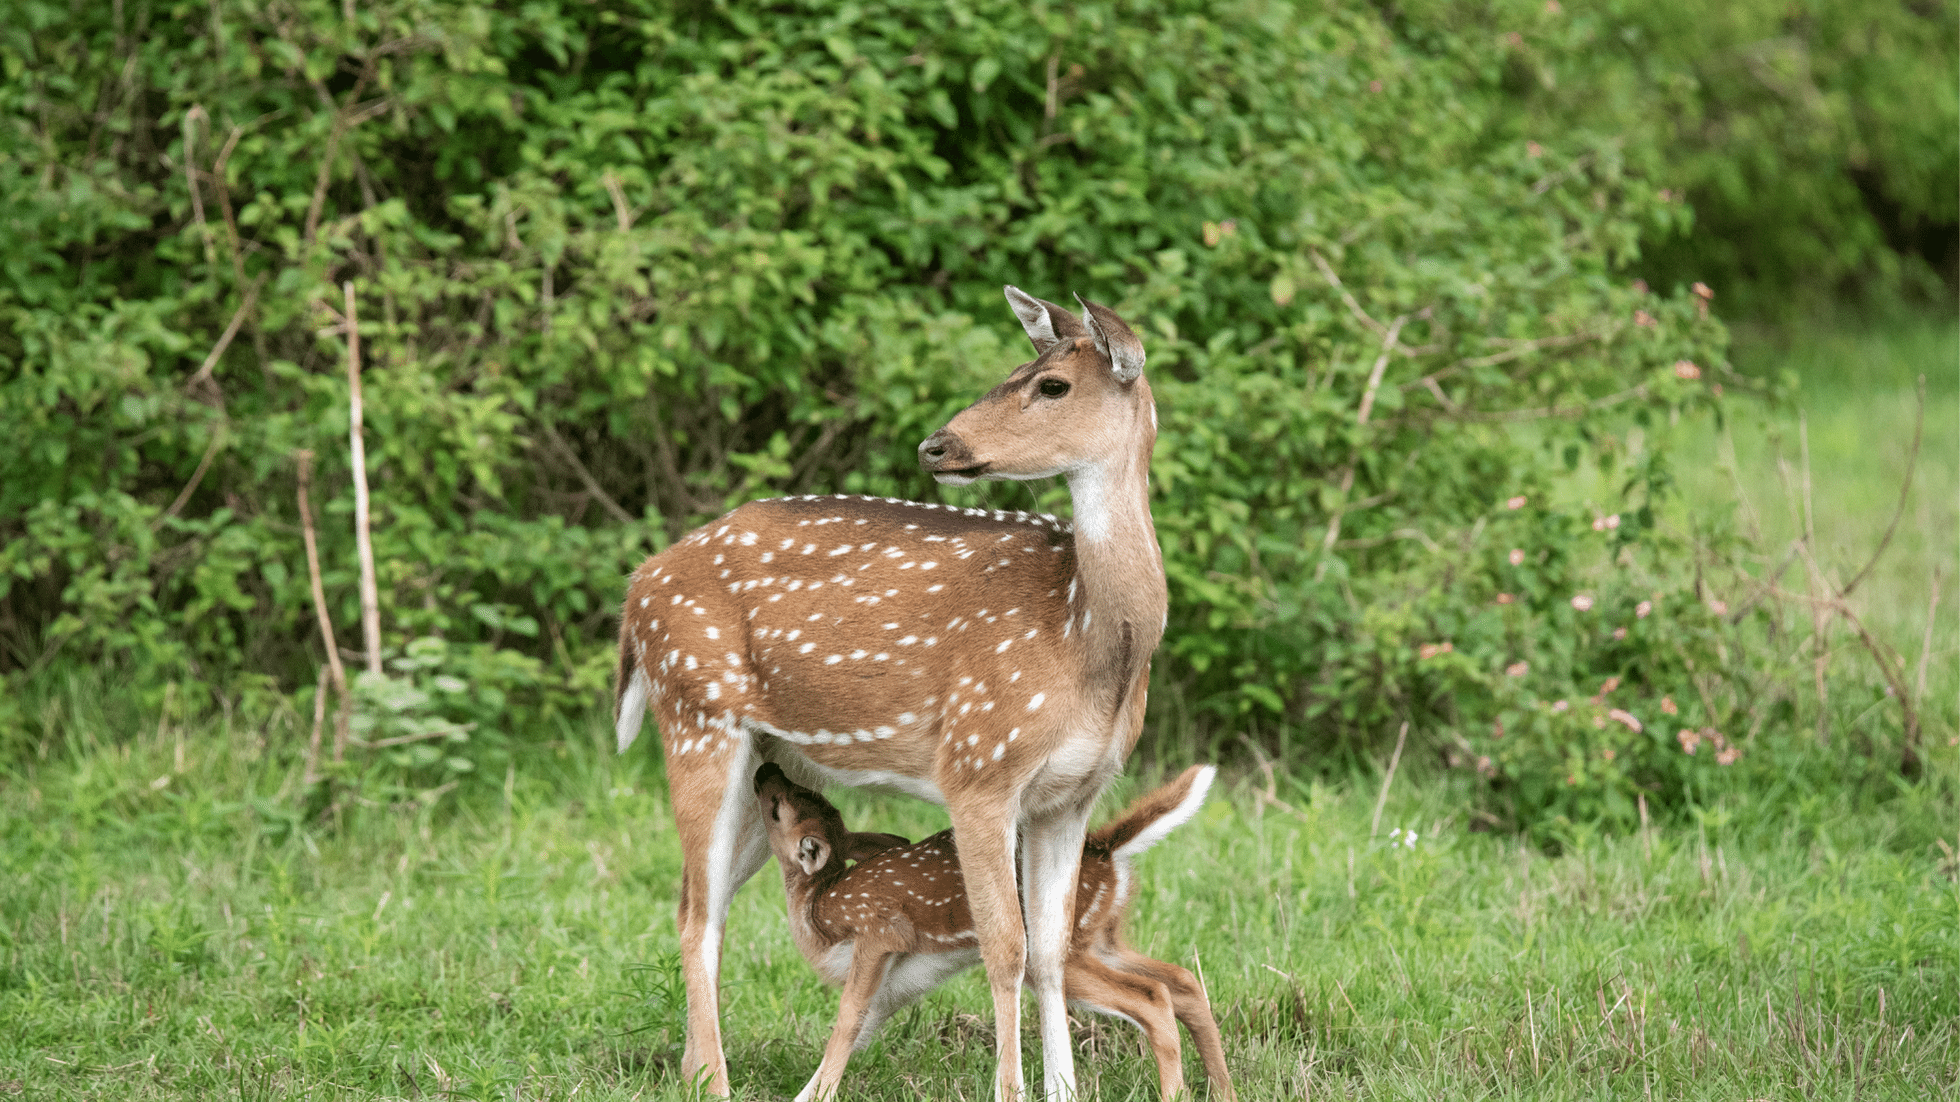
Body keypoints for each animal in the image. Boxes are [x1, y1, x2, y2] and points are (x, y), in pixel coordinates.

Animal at [611, 284, 1160, 1098]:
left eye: (1052, 385)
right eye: (1014, 371)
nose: (938, 446)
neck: (1085, 639)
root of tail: (637, 587)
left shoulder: (1072, 794)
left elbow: (1052, 948)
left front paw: (1061, 1088)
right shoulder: (978, 766)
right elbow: (1006, 947)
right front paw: (1011, 1088)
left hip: (771, 761)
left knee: (694, 897)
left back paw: (688, 1068)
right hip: (695, 713)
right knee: (698, 914)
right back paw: (714, 1079)